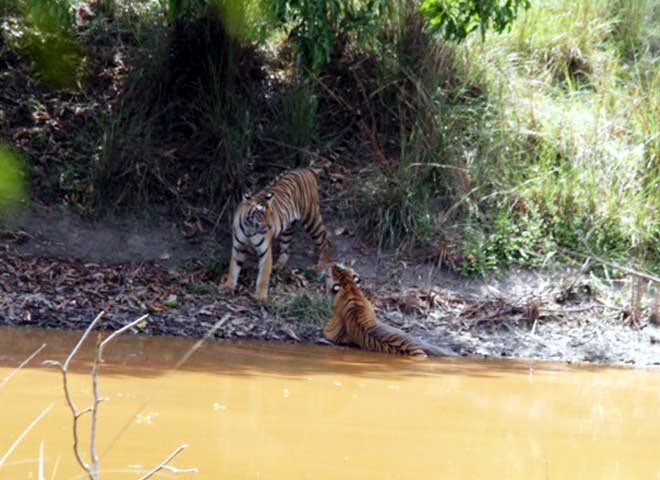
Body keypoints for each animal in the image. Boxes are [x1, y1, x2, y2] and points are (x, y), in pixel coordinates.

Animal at [222, 167, 332, 298]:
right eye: (260, 213)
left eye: (270, 212)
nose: (270, 226)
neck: (249, 228)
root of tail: (305, 169)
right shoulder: (238, 248)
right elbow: (233, 269)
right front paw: (228, 286)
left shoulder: (264, 252)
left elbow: (263, 275)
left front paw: (260, 296)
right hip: (287, 229)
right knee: (287, 248)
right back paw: (278, 266)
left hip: (311, 218)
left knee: (325, 239)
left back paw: (322, 265)